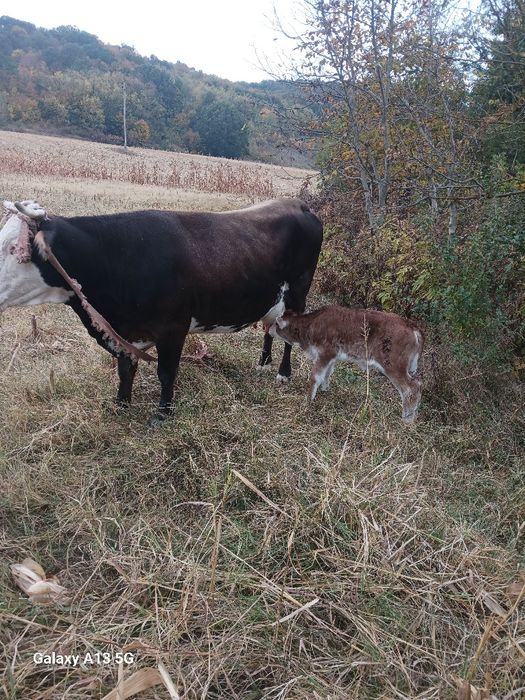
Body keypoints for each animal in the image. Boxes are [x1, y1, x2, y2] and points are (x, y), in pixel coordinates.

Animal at [0, 198, 323, 418]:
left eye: (13, 249)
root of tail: (298, 203)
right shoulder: (125, 332)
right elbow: (125, 370)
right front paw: (121, 405)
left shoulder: (173, 329)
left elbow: (166, 372)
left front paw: (163, 414)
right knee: (269, 327)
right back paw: (263, 363)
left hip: (298, 292)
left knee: (288, 332)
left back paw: (283, 373)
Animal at [271, 305, 423, 423]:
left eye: (276, 324)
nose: (268, 329)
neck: (310, 326)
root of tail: (413, 326)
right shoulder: (331, 357)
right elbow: (327, 373)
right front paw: (325, 389)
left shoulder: (325, 352)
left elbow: (315, 377)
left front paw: (309, 400)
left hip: (393, 364)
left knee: (412, 387)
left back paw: (407, 420)